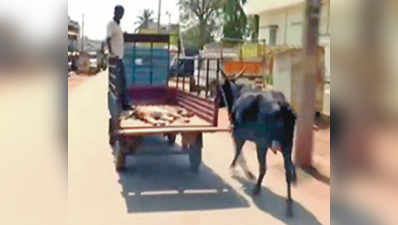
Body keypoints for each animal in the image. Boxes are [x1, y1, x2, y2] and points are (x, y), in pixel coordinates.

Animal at [216, 68, 296, 216]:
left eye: (220, 88)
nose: (215, 100)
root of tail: (283, 106)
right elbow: (238, 151)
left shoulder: (238, 134)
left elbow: (238, 151)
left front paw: (235, 169)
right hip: (287, 146)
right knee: (287, 172)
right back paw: (289, 204)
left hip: (262, 144)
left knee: (263, 167)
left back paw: (257, 188)